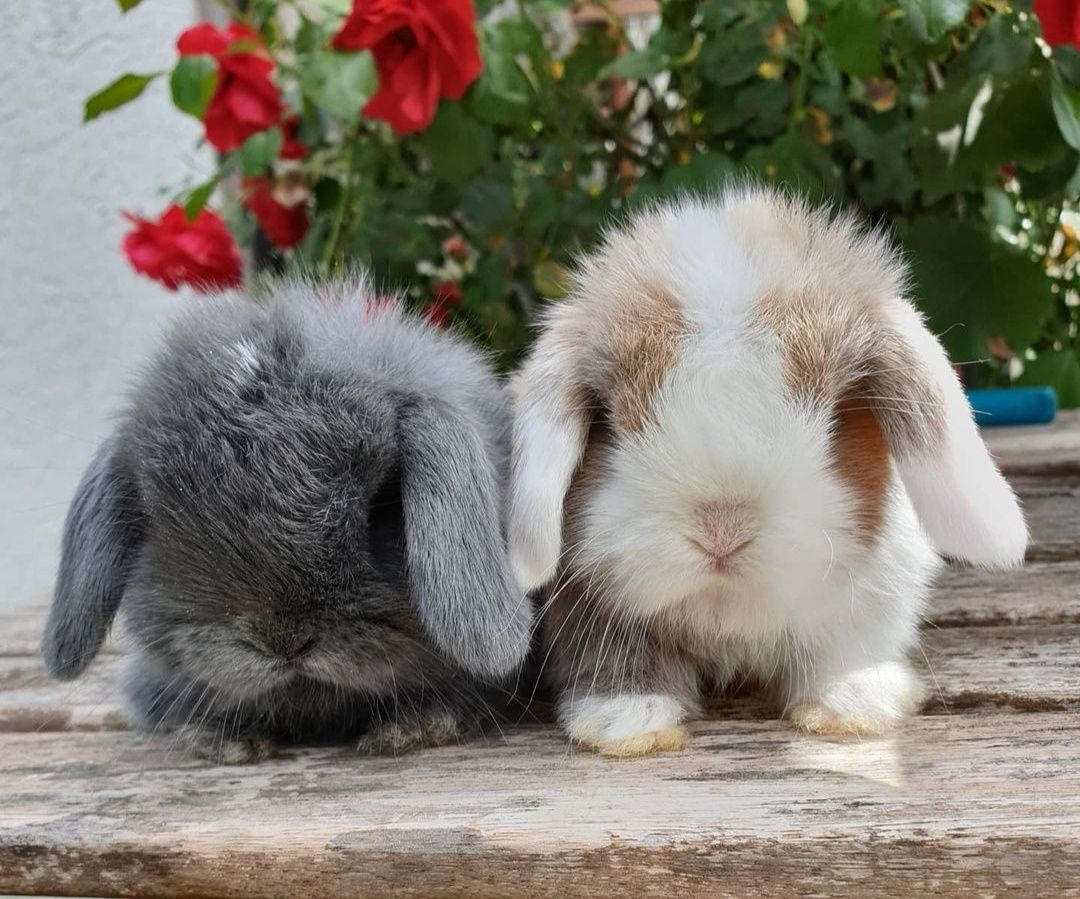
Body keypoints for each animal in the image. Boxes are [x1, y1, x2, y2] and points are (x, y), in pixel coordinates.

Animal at [509, 185, 1023, 756]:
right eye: (606, 422)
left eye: (837, 418)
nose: (722, 530)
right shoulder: (589, 606)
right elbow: (622, 660)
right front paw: (629, 723)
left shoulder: (871, 602)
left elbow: (843, 652)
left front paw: (848, 707)